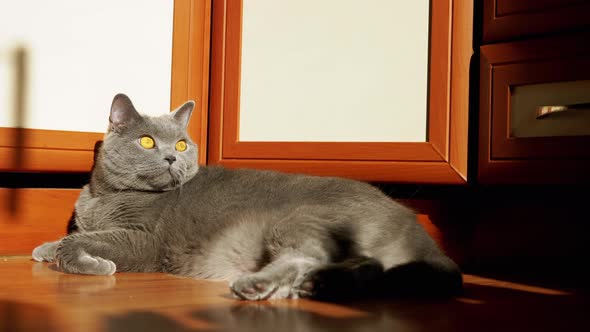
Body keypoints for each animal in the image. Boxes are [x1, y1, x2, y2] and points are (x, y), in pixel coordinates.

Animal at [32, 94, 464, 300]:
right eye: (148, 141)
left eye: (183, 144)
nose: (173, 156)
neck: (102, 196)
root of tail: (413, 225)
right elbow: (70, 235)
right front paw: (44, 248)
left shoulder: (145, 240)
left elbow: (77, 242)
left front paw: (92, 263)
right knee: (367, 266)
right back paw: (316, 286)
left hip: (300, 218)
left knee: (307, 255)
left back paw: (256, 285)